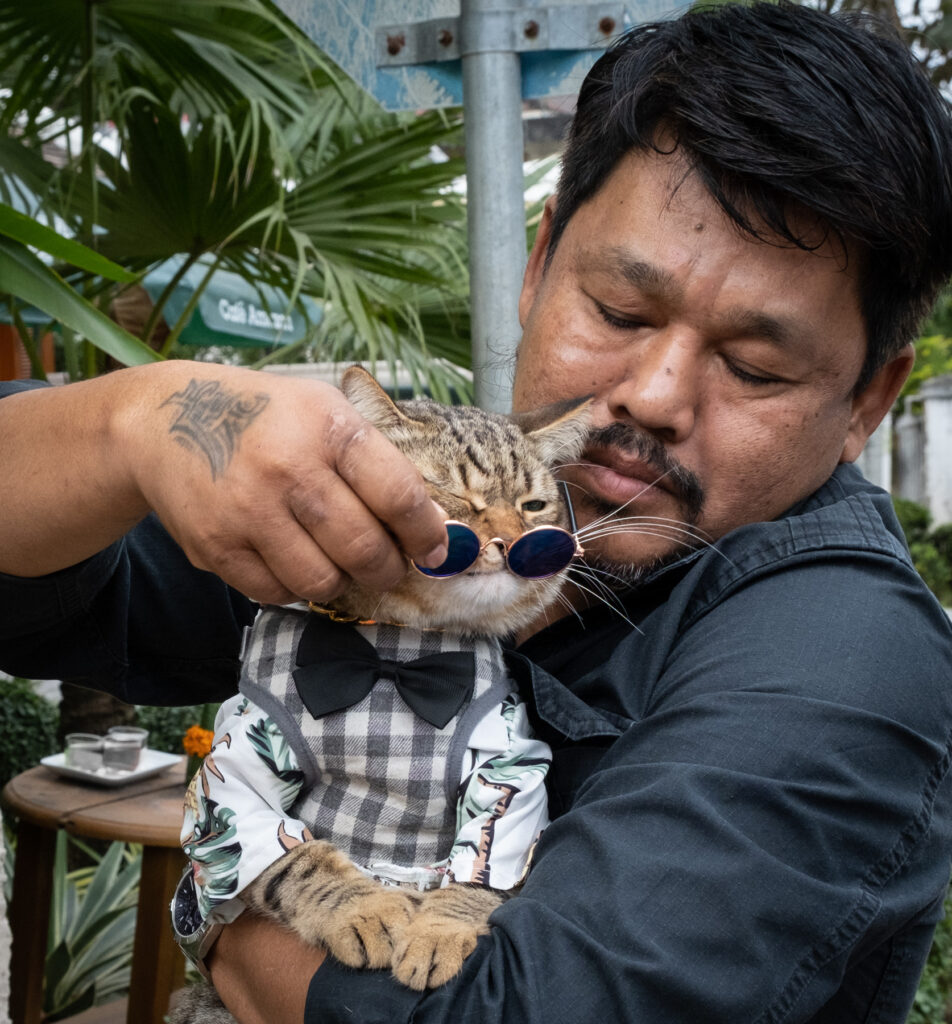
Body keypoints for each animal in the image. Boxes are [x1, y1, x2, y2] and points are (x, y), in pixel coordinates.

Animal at [169, 366, 585, 1015]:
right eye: (453, 495)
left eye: (534, 506)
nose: (512, 543)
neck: (395, 658)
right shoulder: (230, 777)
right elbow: (294, 859)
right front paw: (362, 910)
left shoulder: (512, 765)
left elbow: (480, 868)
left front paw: (439, 928)